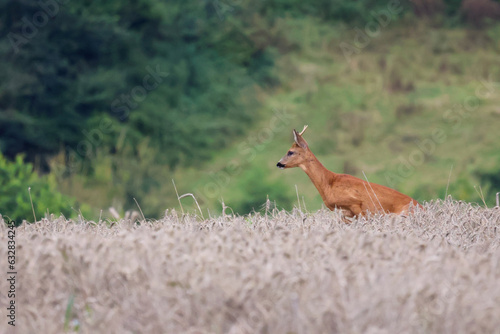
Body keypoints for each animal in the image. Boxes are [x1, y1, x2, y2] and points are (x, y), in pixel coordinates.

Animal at [278, 125, 422, 219]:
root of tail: (422, 208)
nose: (278, 163)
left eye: (290, 152)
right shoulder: (343, 213)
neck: (328, 183)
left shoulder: (355, 204)